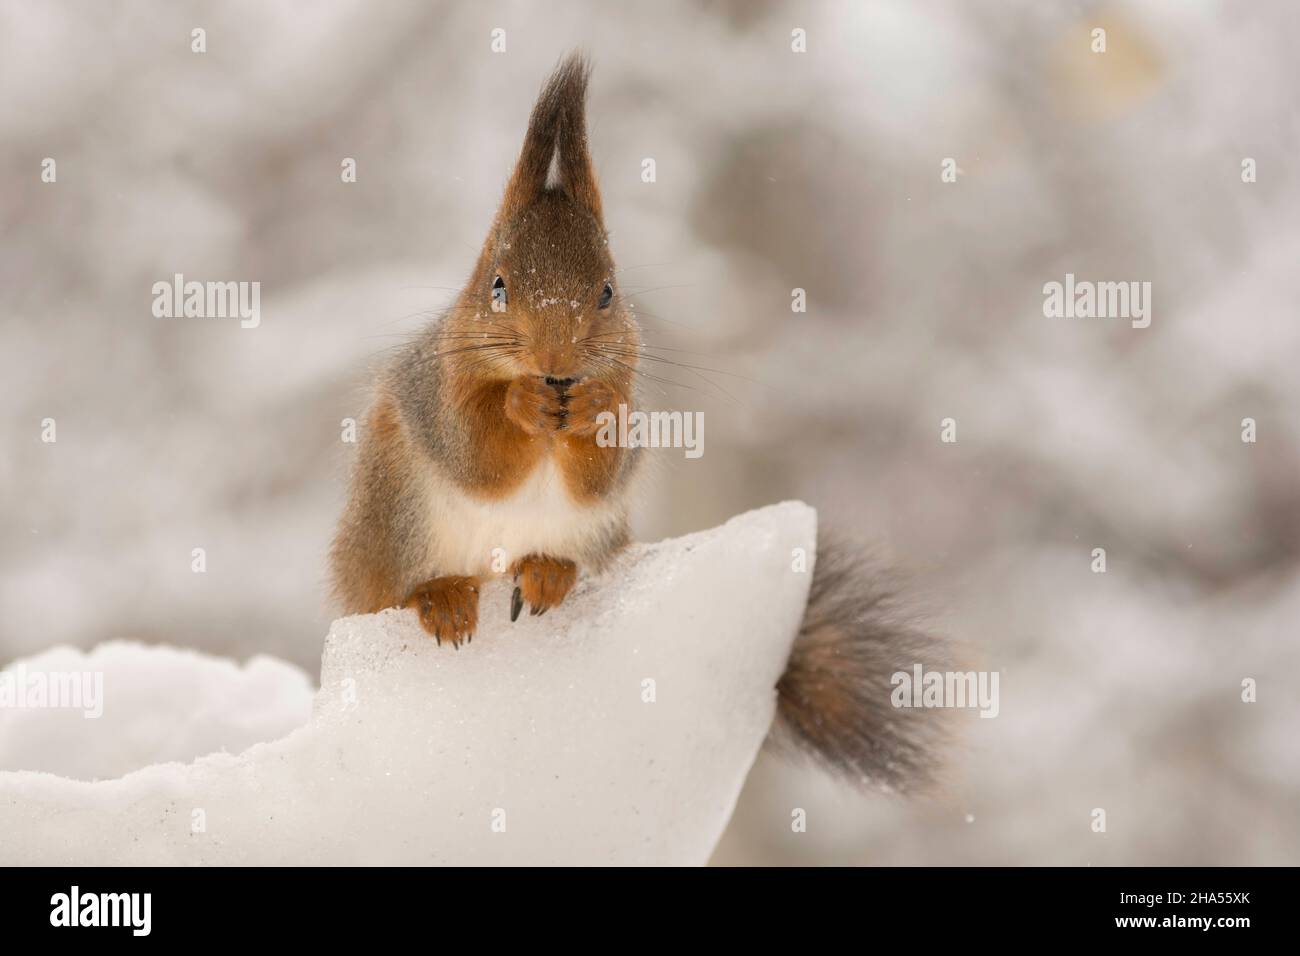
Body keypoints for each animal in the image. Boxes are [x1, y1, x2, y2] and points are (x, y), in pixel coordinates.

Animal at [330, 54, 951, 790]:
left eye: (607, 291)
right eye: (497, 286)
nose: (556, 364)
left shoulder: (622, 401)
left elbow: (600, 470)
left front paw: (592, 408)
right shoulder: (434, 391)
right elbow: (475, 455)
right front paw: (519, 404)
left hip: (595, 533)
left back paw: (547, 572)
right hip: (397, 518)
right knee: (403, 583)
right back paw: (444, 595)